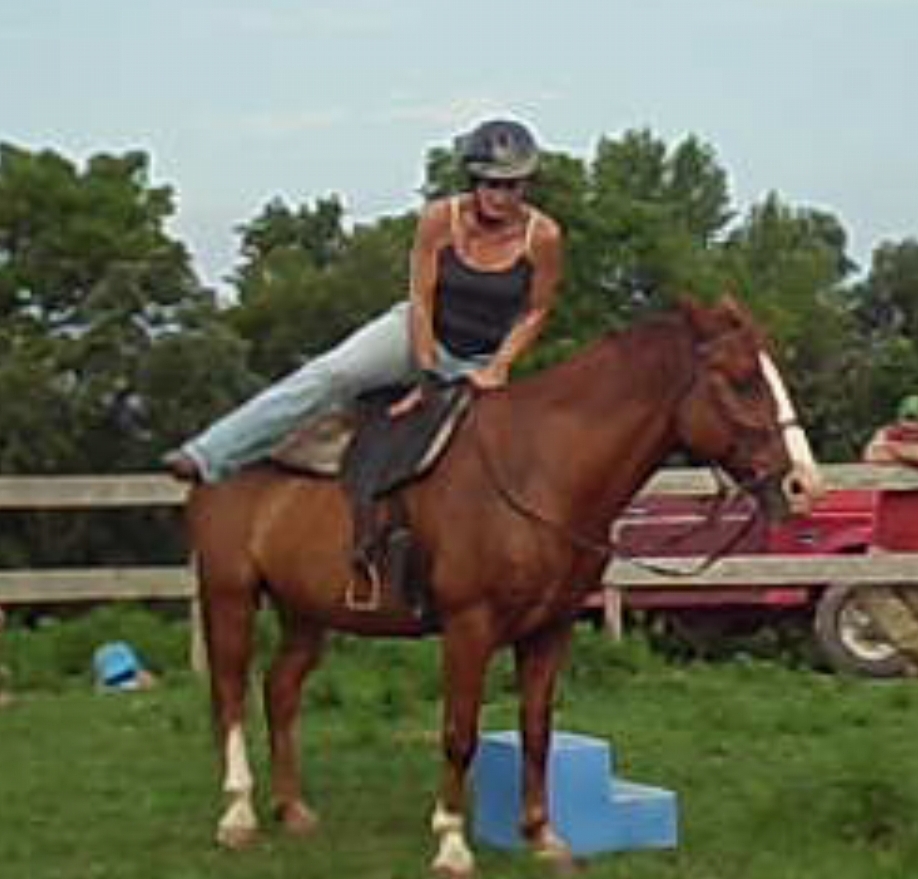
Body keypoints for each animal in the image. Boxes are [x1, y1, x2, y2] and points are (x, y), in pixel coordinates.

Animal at [186, 295, 822, 877]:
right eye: (740, 381)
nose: (802, 483)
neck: (537, 470)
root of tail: (213, 461)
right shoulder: (469, 626)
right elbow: (459, 732)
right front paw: (451, 843)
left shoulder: (550, 629)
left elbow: (536, 729)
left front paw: (542, 836)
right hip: (230, 596)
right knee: (231, 695)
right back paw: (238, 815)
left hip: (305, 612)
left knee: (280, 690)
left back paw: (292, 809)